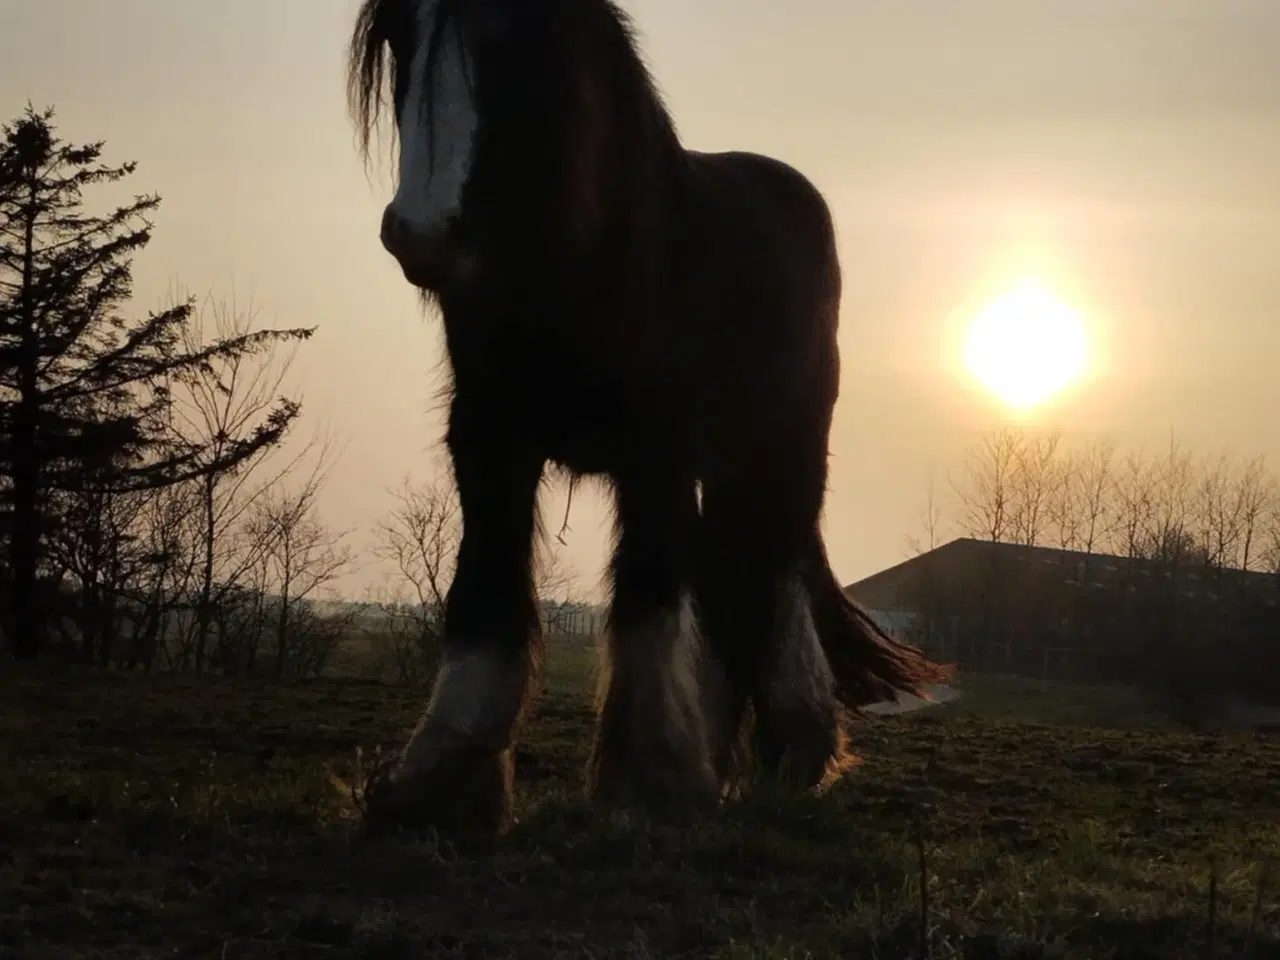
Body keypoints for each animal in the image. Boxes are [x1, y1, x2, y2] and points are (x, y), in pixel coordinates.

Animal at [345, 0, 957, 839]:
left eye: (509, 34)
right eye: (399, 32)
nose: (425, 234)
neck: (586, 268)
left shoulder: (656, 459)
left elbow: (647, 604)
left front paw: (652, 782)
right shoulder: (490, 447)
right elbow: (485, 592)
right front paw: (440, 785)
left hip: (781, 454)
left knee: (769, 573)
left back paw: (792, 749)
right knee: (728, 575)